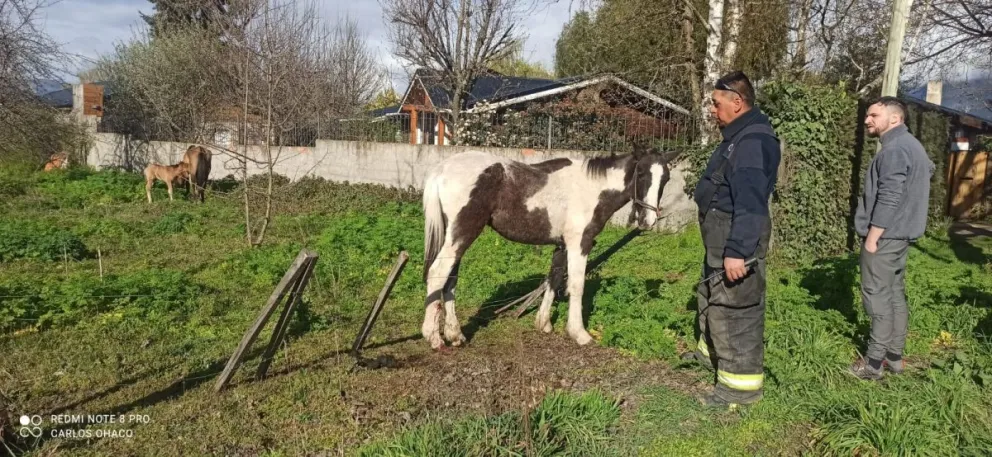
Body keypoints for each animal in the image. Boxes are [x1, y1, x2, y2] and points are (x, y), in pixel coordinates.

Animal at [421, 145, 679, 349]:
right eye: (641, 173)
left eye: (666, 178)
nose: (648, 221)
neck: (591, 188)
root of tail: (442, 168)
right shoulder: (579, 243)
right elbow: (576, 285)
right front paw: (579, 333)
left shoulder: (561, 246)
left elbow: (553, 279)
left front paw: (543, 323)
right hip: (462, 234)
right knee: (437, 274)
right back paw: (433, 337)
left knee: (450, 279)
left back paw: (455, 335)